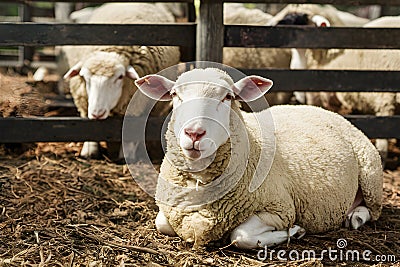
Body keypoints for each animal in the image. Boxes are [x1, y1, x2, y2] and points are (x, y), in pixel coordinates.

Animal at [136, 67, 382, 249]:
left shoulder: (281, 209)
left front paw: (295, 231)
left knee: (373, 210)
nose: (194, 133)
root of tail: (322, 109)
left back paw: (356, 217)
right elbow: (161, 223)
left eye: (228, 97)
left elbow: (241, 235)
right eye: (175, 95)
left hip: (371, 174)